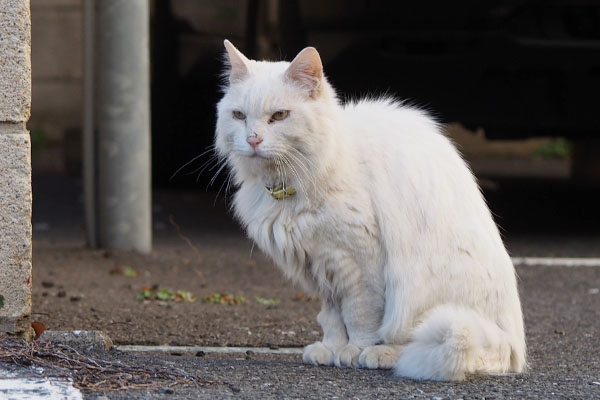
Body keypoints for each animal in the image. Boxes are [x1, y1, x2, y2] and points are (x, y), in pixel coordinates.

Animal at [214, 40, 524, 382]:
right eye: (239, 116)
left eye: (279, 116)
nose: (252, 139)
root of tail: (512, 347)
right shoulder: (322, 264)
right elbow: (333, 319)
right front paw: (330, 350)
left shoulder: (358, 263)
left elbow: (360, 316)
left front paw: (354, 352)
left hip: (422, 297)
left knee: (414, 343)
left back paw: (382, 355)